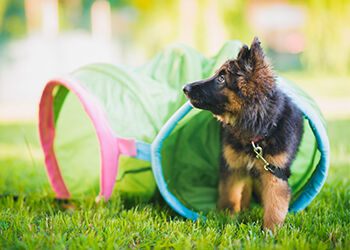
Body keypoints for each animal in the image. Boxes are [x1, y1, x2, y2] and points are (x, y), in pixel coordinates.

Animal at [183, 36, 304, 230]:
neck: (255, 135)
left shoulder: (275, 175)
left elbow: (274, 209)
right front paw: (226, 223)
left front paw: (271, 233)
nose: (185, 88)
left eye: (221, 79)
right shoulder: (232, 169)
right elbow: (229, 199)